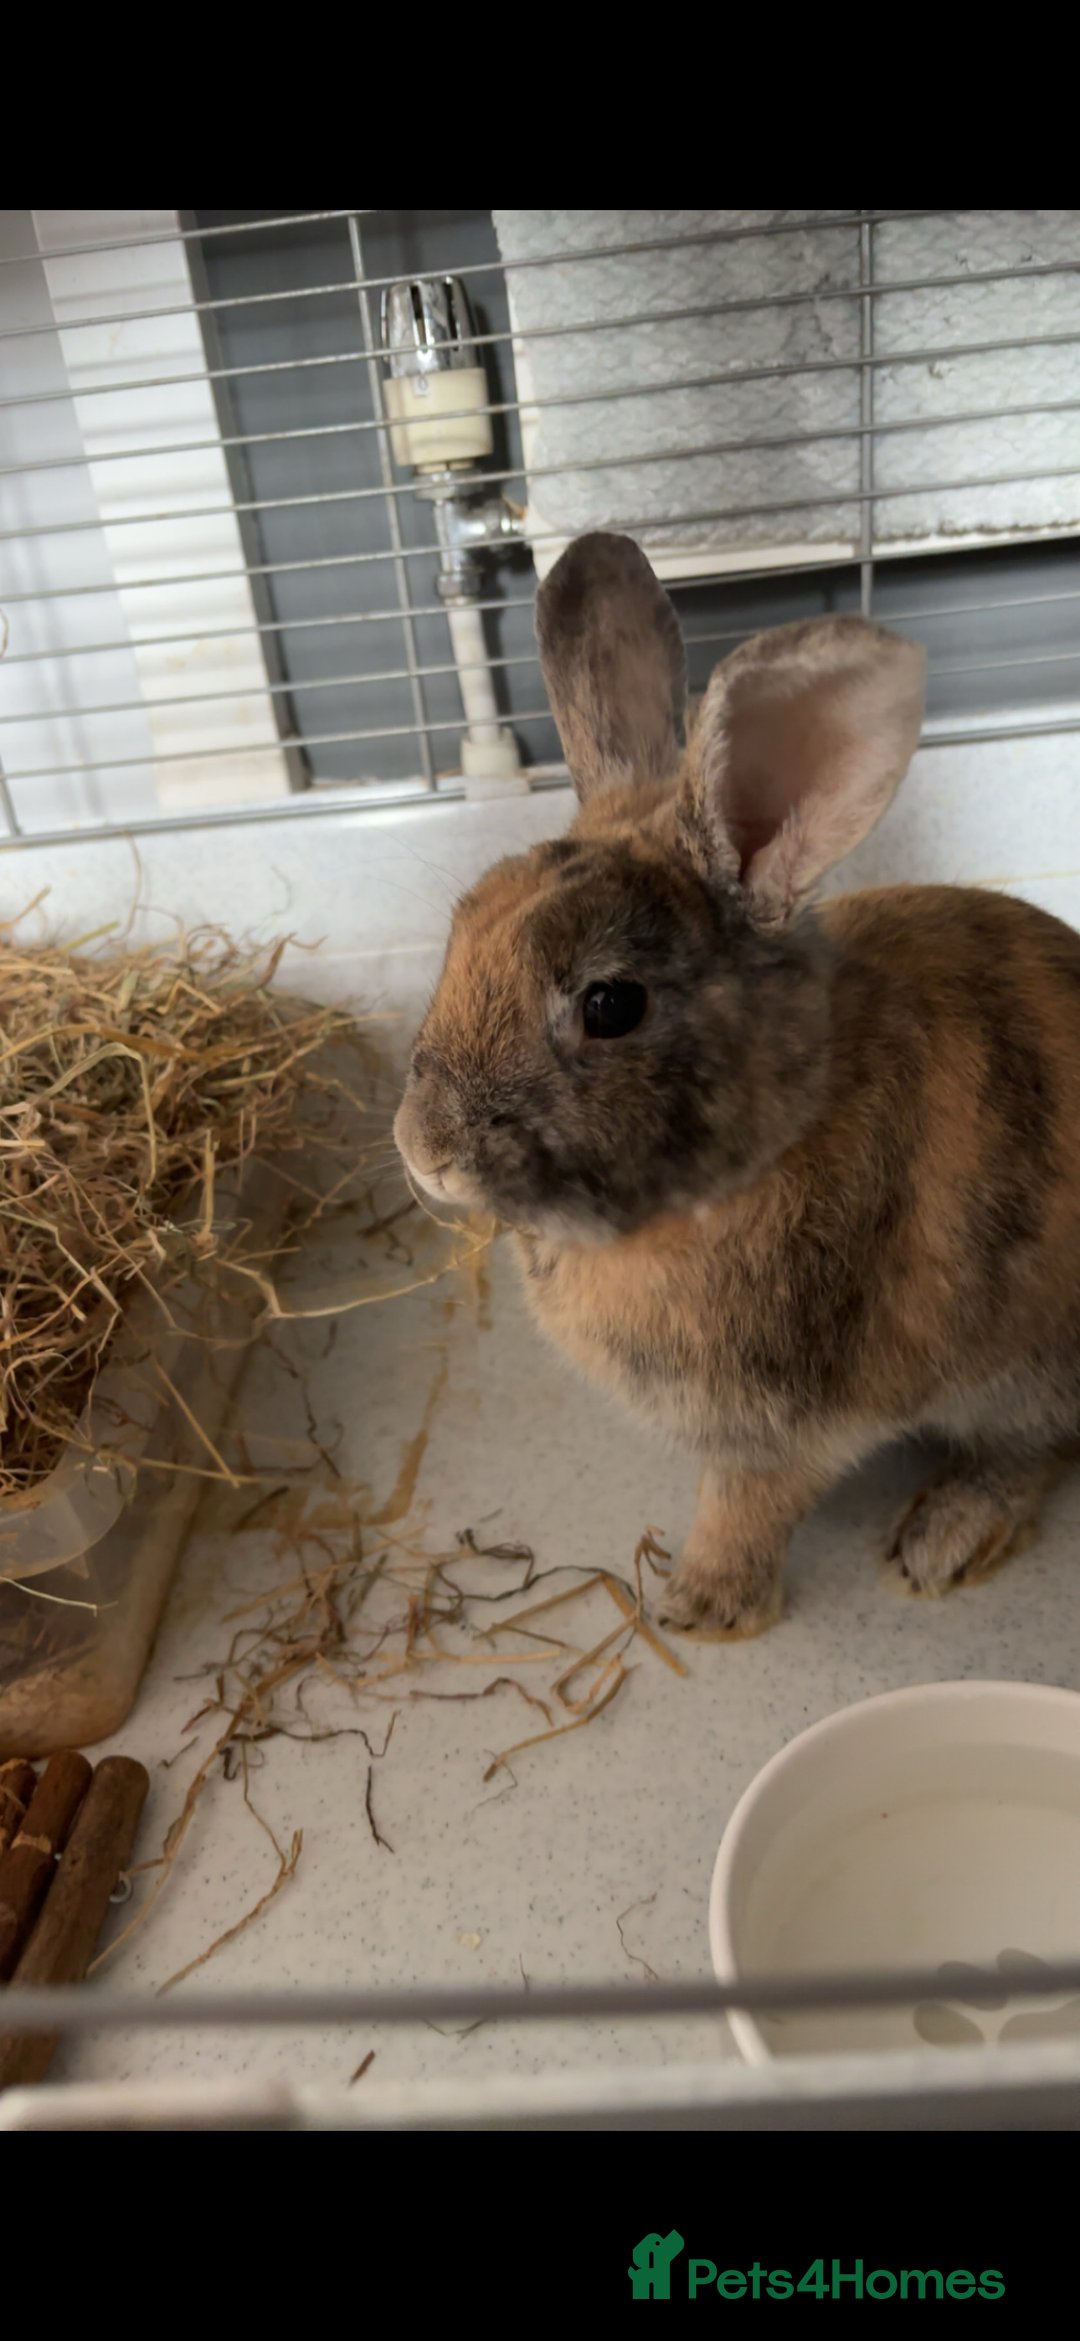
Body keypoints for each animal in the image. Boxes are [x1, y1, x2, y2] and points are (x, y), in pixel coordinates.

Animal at [394, 530, 1080, 1637]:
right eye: (462, 929)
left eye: (610, 1006)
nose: (426, 1150)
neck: (771, 1138)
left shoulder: (779, 1425)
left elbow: (746, 1507)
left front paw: (701, 1608)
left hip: (1028, 1367)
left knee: (1032, 1449)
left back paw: (940, 1541)